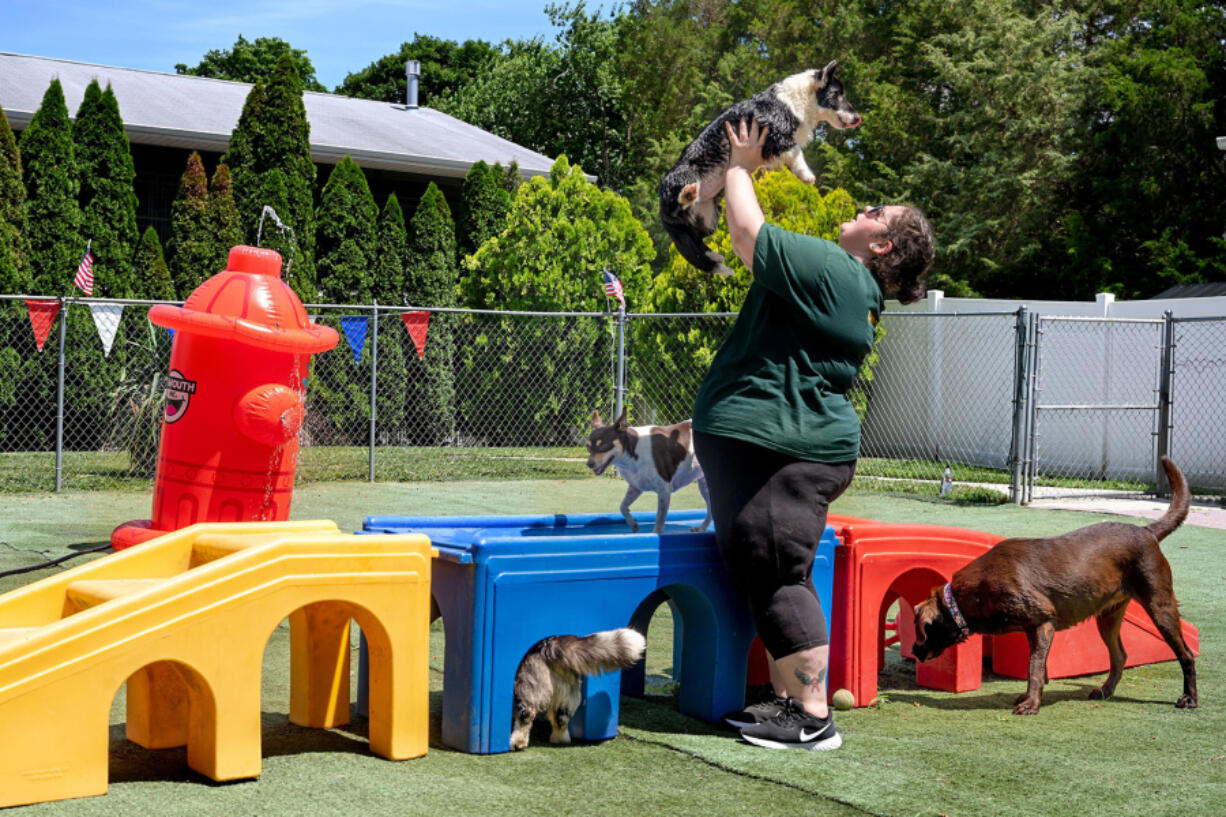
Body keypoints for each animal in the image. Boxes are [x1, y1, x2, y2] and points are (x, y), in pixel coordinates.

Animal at [507, 625, 647, 745]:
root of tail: (550, 644)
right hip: (565, 692)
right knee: (561, 719)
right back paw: (559, 740)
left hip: (527, 685)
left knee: (526, 715)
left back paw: (517, 743)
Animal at [583, 409, 711, 532]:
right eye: (588, 447)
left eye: (603, 445)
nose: (589, 464)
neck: (633, 451)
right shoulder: (636, 487)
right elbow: (622, 506)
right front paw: (632, 524)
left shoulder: (664, 491)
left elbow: (659, 523)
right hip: (704, 486)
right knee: (710, 509)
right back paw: (701, 528)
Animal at [662, 60, 863, 274]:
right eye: (837, 94)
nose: (857, 118)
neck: (795, 102)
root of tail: (663, 214)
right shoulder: (776, 137)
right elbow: (797, 151)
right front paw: (807, 175)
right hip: (684, 177)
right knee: (678, 204)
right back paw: (688, 193)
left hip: (709, 217)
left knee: (698, 241)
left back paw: (715, 257)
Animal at [917, 453, 1191, 716]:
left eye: (920, 630)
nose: (914, 651)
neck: (965, 597)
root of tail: (1147, 531)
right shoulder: (1033, 630)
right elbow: (1038, 667)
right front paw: (1030, 697)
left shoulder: (1043, 622)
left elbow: (1034, 668)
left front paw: (1031, 704)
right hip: (1108, 617)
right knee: (1120, 656)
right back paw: (1105, 691)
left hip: (1160, 607)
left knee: (1185, 654)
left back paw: (1189, 699)